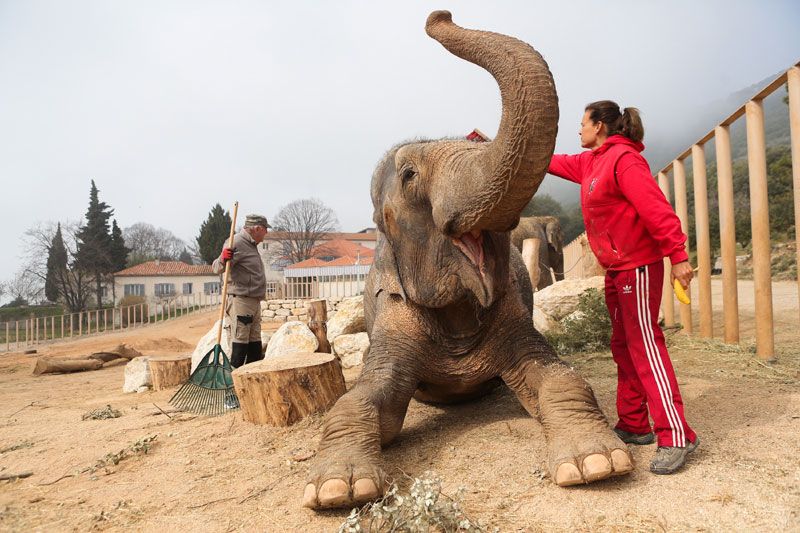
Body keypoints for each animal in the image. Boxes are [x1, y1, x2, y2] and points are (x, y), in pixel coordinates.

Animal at [302, 12, 632, 510]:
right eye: (409, 175)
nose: (439, 16)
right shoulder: (394, 312)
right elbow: (363, 399)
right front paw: (338, 490)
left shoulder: (511, 312)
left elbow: (559, 376)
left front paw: (597, 464)